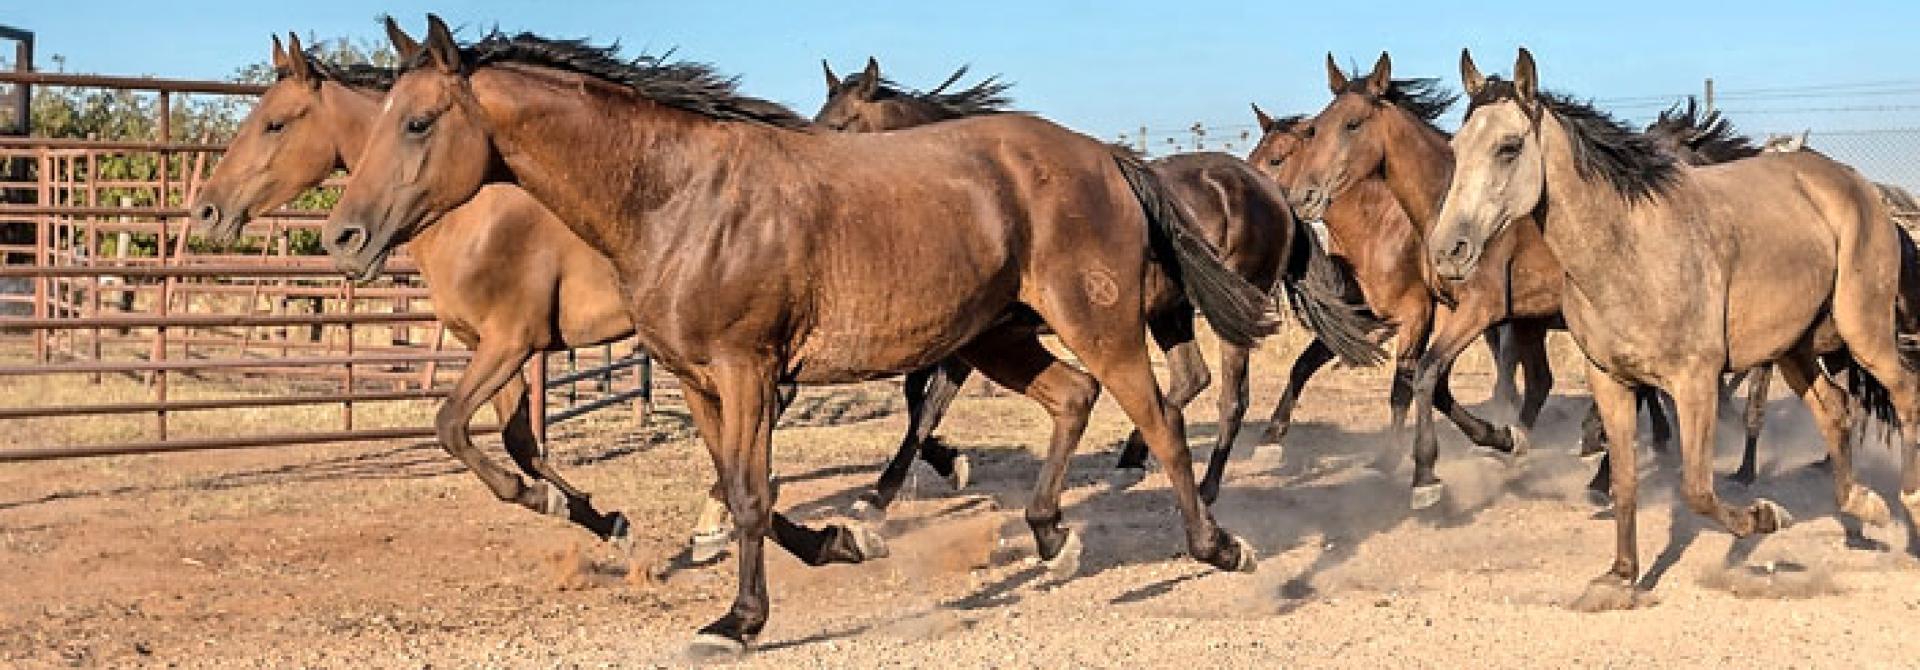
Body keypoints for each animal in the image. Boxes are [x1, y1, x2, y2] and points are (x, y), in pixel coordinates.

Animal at [331, 17, 1280, 655]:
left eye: (418, 122)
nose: (343, 236)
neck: (679, 196)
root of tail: (1106, 155)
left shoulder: (749, 369)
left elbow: (753, 494)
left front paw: (740, 620)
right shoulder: (697, 379)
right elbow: (739, 484)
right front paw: (838, 542)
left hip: (1100, 322)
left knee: (1161, 419)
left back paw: (1219, 546)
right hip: (998, 337)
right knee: (1074, 398)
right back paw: (1051, 535)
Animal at [815, 57, 1386, 504]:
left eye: (840, 123)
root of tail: (1273, 194)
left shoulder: (980, 335)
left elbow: (925, 404)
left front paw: (892, 488)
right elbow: (922, 400)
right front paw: (923, 474)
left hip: (1233, 313)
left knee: (1230, 399)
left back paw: (1202, 484)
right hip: (1170, 310)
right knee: (1190, 379)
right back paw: (1135, 452)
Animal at [1432, 48, 1919, 609]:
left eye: (1509, 148)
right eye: (1456, 147)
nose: (1447, 251)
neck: (1629, 251)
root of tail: (1853, 183)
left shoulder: (1695, 381)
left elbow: (1697, 489)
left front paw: (1764, 516)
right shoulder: (1610, 380)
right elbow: (1624, 480)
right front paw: (1619, 577)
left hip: (1863, 332)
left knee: (1905, 394)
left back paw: (1908, 508)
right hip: (1794, 347)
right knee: (1836, 411)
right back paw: (1862, 508)